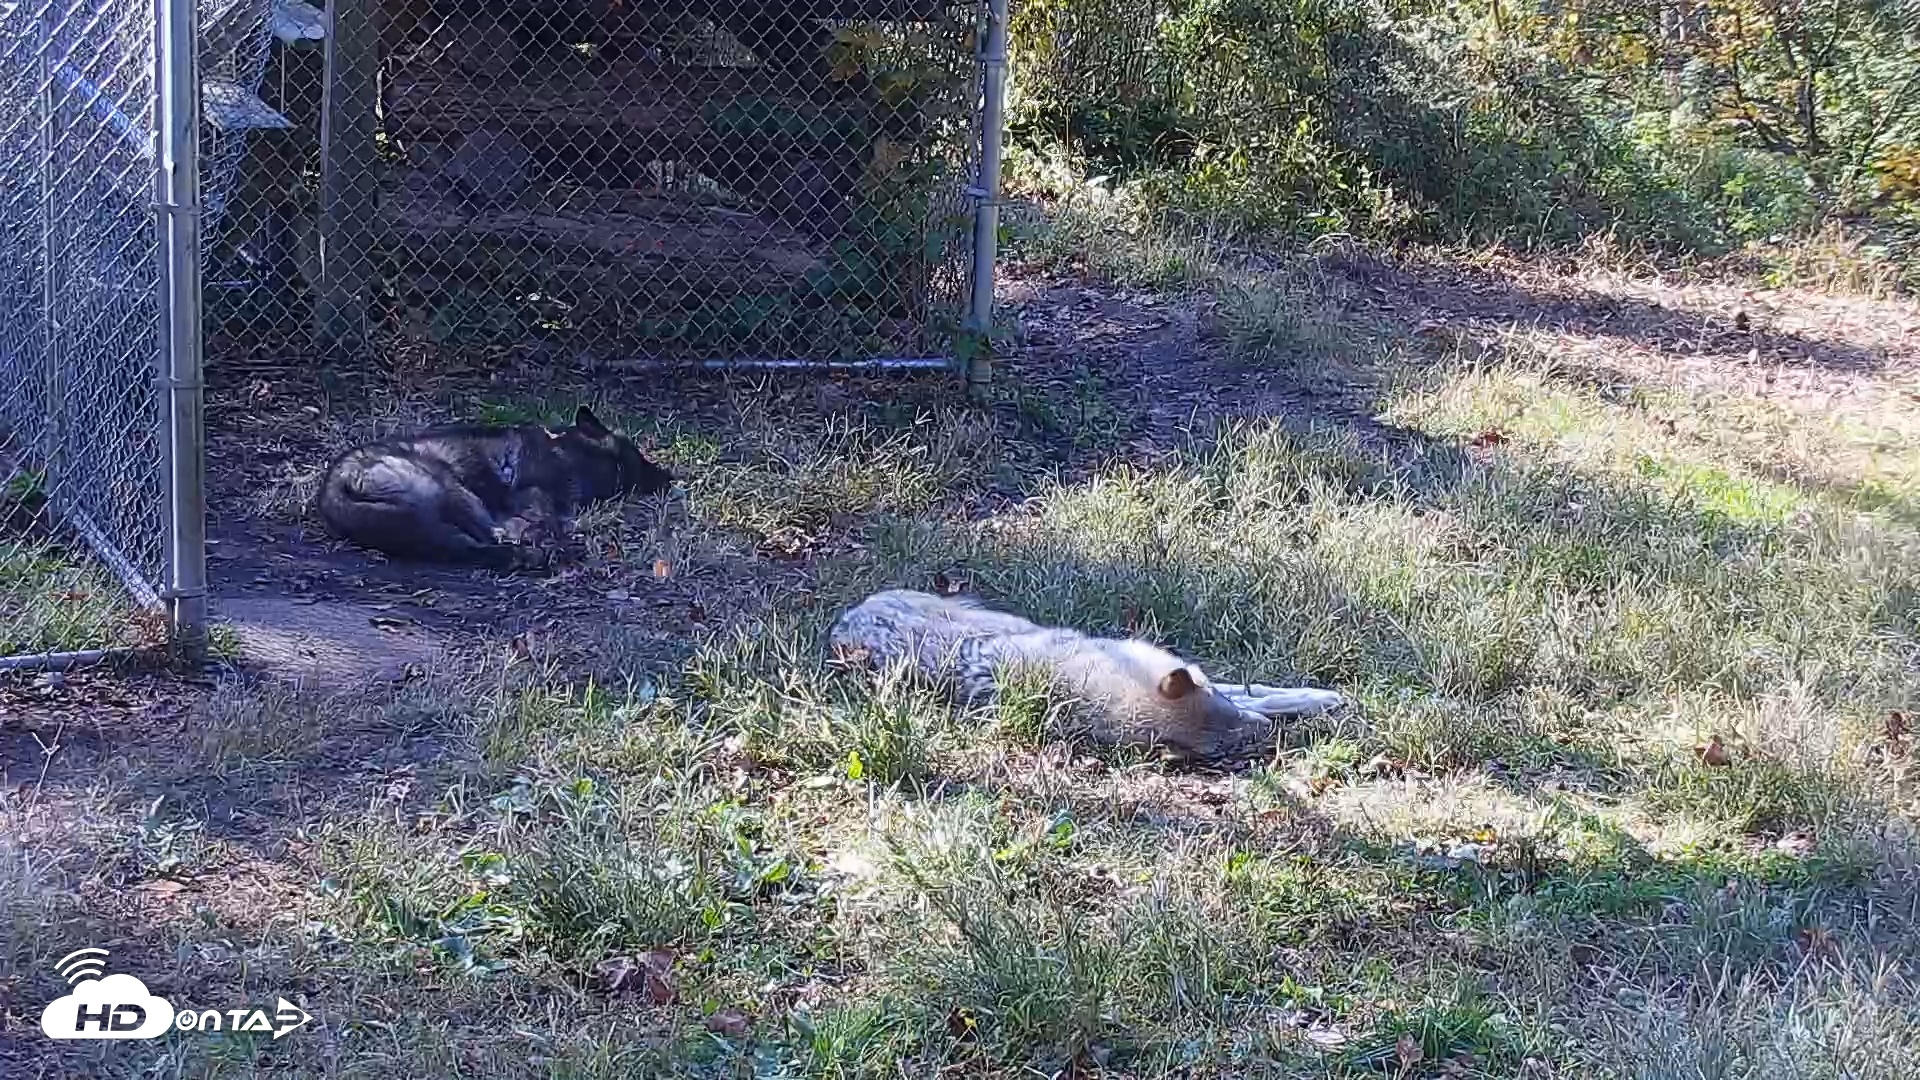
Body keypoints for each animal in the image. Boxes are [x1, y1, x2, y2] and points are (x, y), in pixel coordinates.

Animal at [316, 405, 674, 569]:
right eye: (640, 459)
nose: (671, 479)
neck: (572, 453)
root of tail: (338, 482)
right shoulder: (531, 494)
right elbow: (553, 520)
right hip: (448, 488)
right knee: (486, 541)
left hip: (422, 518)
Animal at [828, 588, 1346, 761]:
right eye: (1228, 746)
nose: (1265, 736)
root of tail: (843, 621)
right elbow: (1263, 692)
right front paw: (1319, 701)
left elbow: (1261, 690)